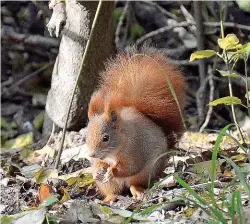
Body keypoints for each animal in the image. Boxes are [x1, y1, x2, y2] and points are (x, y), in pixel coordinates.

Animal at [86, 48, 186, 203]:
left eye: (106, 138)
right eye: (86, 136)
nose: (91, 154)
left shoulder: (134, 151)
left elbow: (130, 167)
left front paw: (112, 171)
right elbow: (99, 165)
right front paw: (98, 171)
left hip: (145, 172)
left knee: (134, 183)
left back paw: (137, 191)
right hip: (109, 185)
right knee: (113, 191)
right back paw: (108, 197)